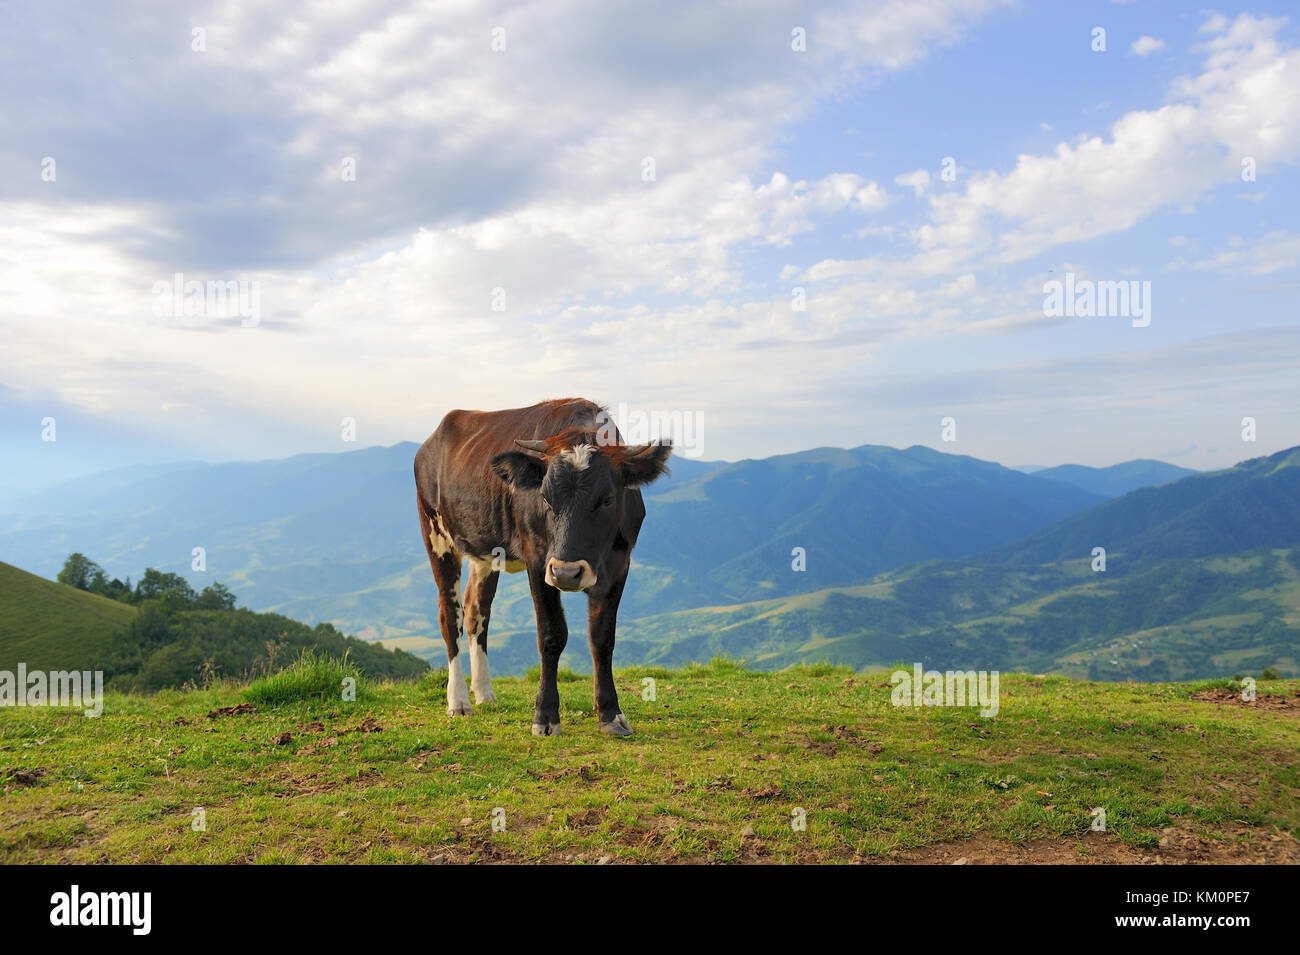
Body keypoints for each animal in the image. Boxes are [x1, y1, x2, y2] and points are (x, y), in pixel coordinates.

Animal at [414, 398, 671, 736]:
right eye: (546, 498)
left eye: (607, 499)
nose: (566, 573)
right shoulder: (538, 560)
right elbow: (551, 635)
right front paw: (545, 717)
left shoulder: (620, 562)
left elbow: (602, 638)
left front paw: (611, 714)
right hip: (436, 534)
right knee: (449, 614)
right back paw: (458, 701)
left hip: (485, 551)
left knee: (476, 611)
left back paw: (484, 692)